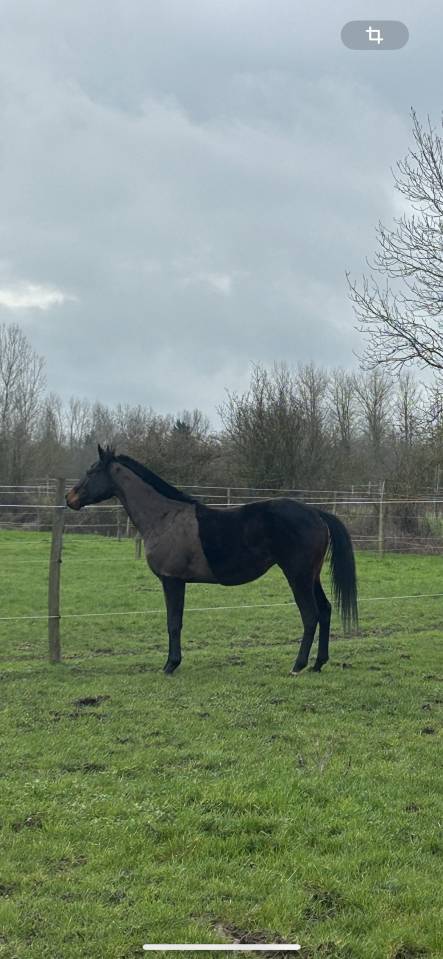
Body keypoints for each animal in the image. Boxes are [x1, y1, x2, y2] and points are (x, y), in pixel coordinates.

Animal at [66, 445, 358, 676]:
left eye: (92, 471)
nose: (70, 499)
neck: (164, 517)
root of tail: (316, 513)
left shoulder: (172, 581)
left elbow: (173, 623)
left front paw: (170, 665)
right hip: (311, 576)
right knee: (325, 610)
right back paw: (318, 664)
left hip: (297, 576)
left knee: (310, 615)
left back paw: (298, 665)